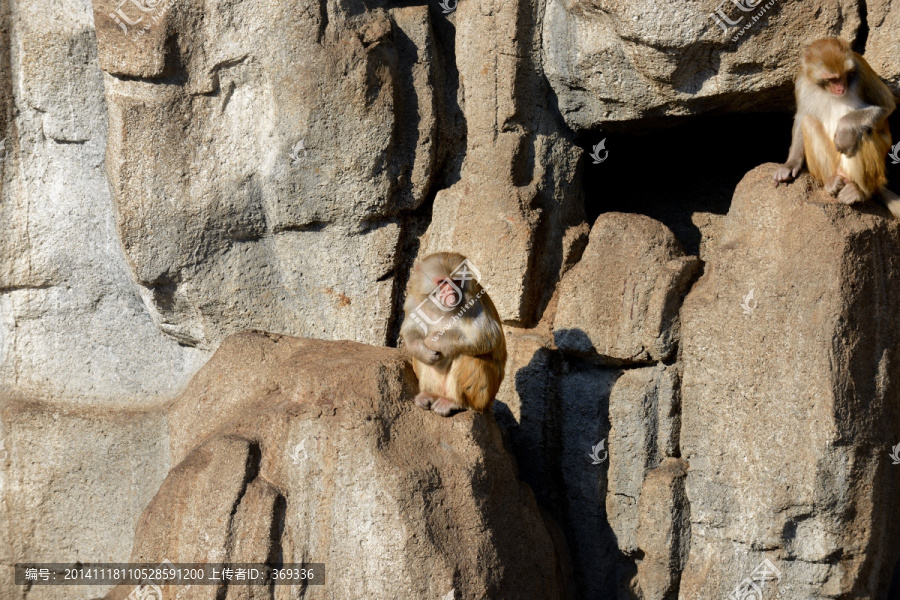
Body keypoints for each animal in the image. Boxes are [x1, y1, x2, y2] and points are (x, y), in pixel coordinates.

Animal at [400, 252, 506, 418]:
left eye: (456, 281)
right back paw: (430, 394)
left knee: (468, 356)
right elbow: (411, 331)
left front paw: (433, 341)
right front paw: (424, 349)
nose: (451, 294)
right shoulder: (414, 300)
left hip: (483, 398)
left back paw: (455, 402)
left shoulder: (472, 303)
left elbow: (487, 337)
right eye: (442, 282)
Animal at [772, 37, 900, 217]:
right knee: (809, 122)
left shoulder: (862, 68)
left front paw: (844, 129)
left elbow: (887, 105)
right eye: (832, 79)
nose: (841, 88)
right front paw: (790, 164)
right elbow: (801, 116)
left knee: (863, 130)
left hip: (874, 174)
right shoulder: (801, 81)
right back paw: (831, 181)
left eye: (845, 75)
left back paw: (860, 191)